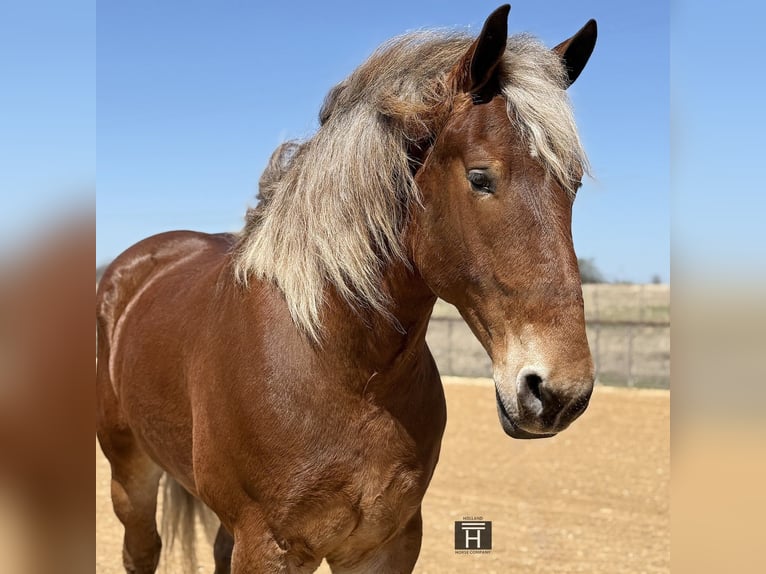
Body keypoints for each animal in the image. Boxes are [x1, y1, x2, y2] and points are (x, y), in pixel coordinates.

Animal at [96, 5, 598, 573]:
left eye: (573, 185)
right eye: (479, 177)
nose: (559, 393)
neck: (343, 365)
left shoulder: (386, 542)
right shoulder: (269, 546)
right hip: (130, 473)